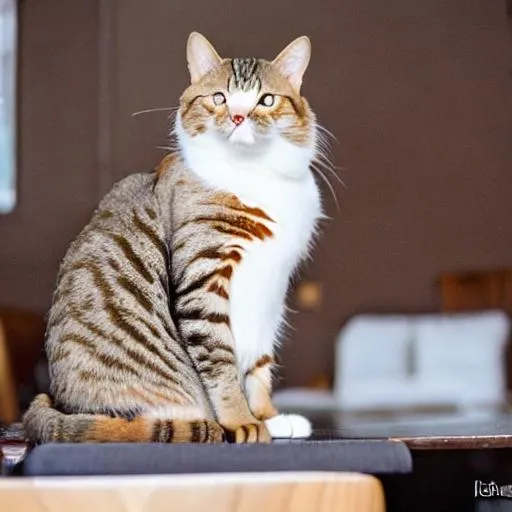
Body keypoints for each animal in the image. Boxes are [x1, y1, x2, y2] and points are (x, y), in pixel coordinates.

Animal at [23, 32, 324, 444]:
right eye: (220, 98)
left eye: (266, 100)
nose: (238, 116)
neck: (255, 175)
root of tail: (63, 406)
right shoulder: (204, 278)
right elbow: (220, 363)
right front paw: (242, 420)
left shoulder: (272, 291)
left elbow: (260, 363)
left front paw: (269, 416)